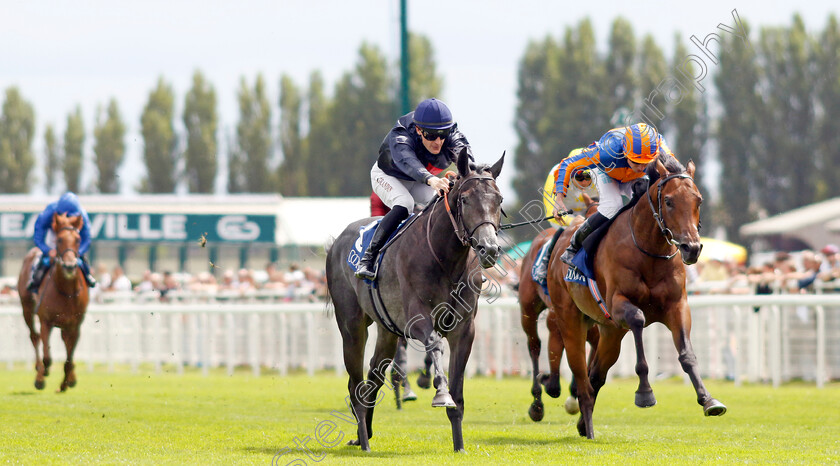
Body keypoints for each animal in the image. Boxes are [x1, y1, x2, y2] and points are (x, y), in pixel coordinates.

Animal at [17, 213, 90, 392]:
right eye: (59, 240)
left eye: (78, 239)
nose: (70, 266)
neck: (67, 293)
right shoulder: (46, 321)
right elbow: (47, 357)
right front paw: (43, 374)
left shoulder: (75, 325)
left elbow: (69, 360)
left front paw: (64, 384)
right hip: (27, 309)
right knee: (34, 337)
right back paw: (39, 374)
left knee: (65, 343)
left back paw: (71, 378)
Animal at [324, 148, 502, 452]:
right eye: (465, 199)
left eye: (499, 200)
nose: (488, 249)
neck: (445, 259)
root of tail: (336, 243)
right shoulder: (417, 318)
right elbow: (434, 344)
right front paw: (440, 392)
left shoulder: (464, 329)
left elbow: (458, 393)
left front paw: (459, 445)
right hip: (352, 326)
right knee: (355, 384)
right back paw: (363, 440)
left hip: (387, 330)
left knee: (374, 375)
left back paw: (364, 433)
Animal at [516, 195, 600, 420]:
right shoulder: (557, 317)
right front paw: (550, 382)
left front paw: (575, 392)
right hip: (528, 309)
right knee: (534, 345)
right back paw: (537, 402)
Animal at [548, 158, 724, 438]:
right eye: (669, 201)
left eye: (699, 200)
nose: (692, 248)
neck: (649, 251)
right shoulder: (618, 303)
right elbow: (639, 320)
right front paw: (645, 393)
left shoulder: (677, 306)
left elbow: (687, 354)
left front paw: (708, 400)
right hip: (571, 321)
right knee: (583, 378)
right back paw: (588, 427)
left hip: (611, 332)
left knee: (596, 375)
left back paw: (583, 425)